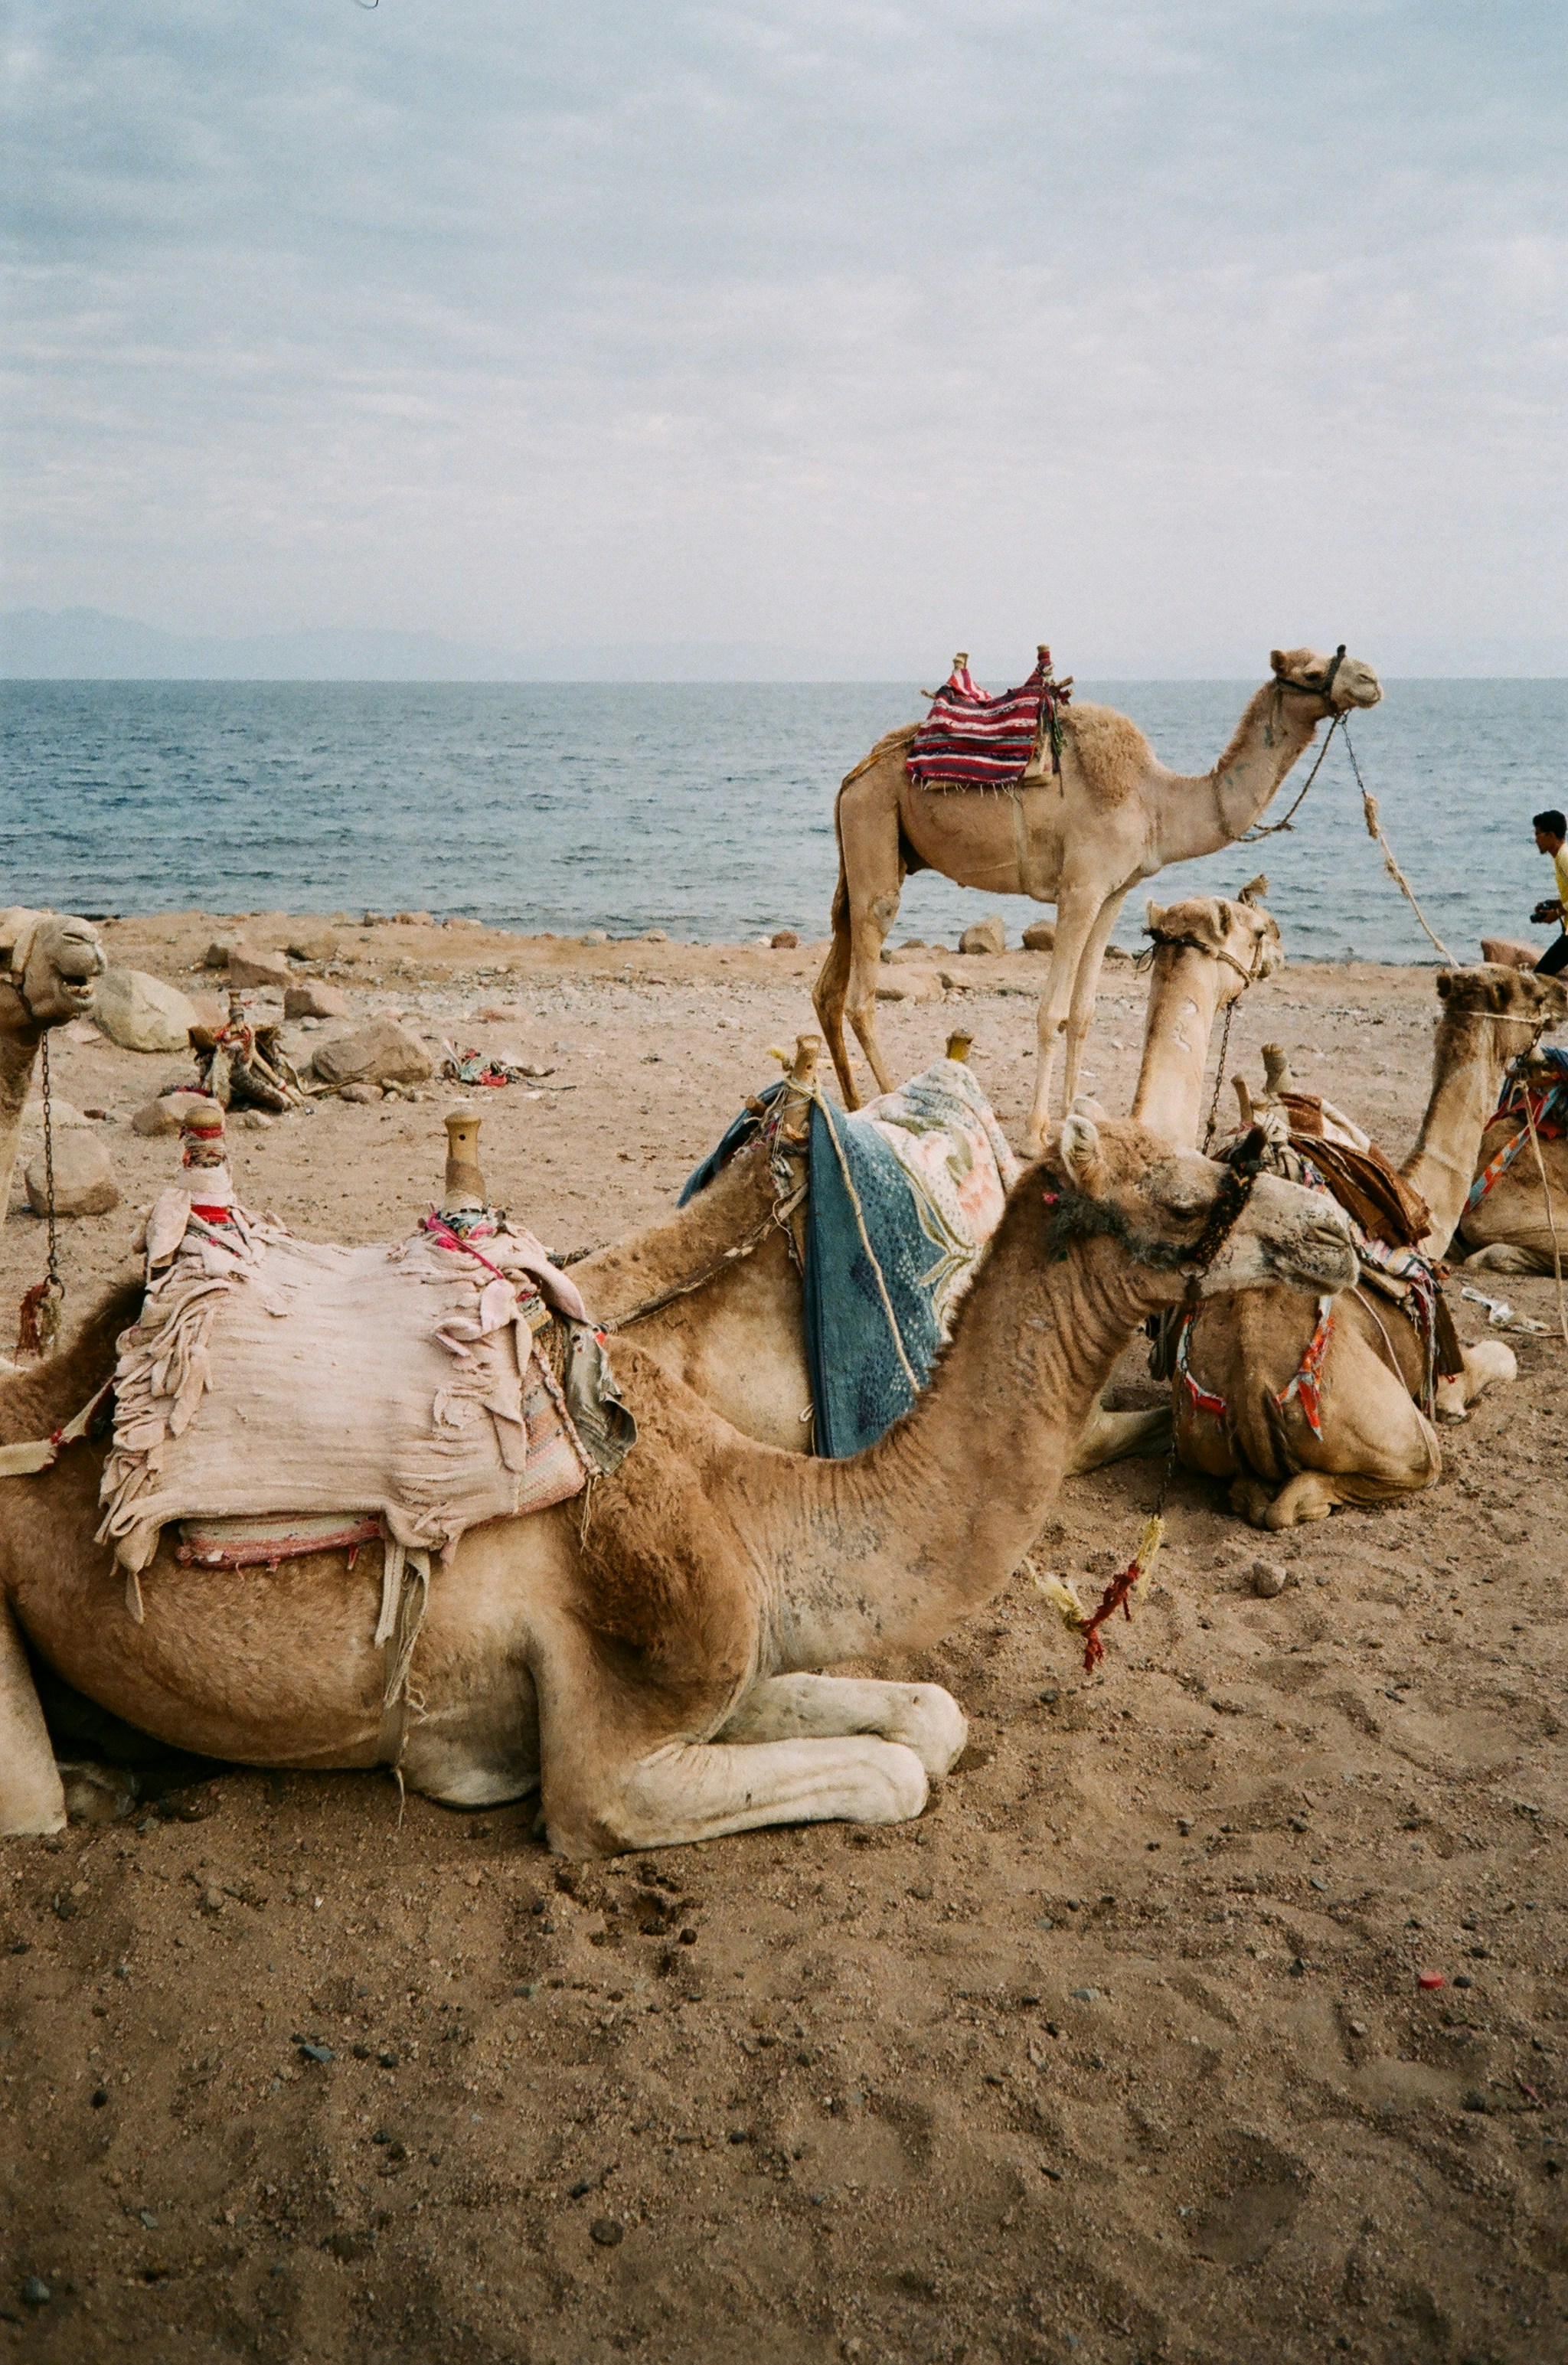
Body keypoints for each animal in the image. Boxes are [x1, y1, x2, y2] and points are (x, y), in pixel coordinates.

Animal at [0, 1116, 1355, 1848]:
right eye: (1185, 1193)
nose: (1338, 1233)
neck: (751, 1503)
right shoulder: (612, 1769)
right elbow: (894, 1771)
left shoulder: (735, 1655)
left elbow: (930, 1716)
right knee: (30, 1809)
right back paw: (96, 1789)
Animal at [813, 646, 1383, 1153]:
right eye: (1311, 671)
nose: (1371, 679)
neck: (1157, 802)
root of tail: (855, 774)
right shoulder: (1080, 888)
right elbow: (1051, 1012)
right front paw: (1036, 1134)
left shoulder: (1114, 893)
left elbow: (1083, 1012)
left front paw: (1072, 1117)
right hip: (874, 821)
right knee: (865, 978)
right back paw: (888, 1101)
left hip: (871, 842)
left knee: (829, 981)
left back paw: (853, 1102)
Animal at [1172, 964, 1568, 1530]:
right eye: (1529, 991)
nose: (1561, 994)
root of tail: (1251, 1390)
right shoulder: (1442, 1374)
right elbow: (1502, 1357)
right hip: (1401, 1438)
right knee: (1313, 1495)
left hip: (1197, 1436)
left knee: (1243, 1489)